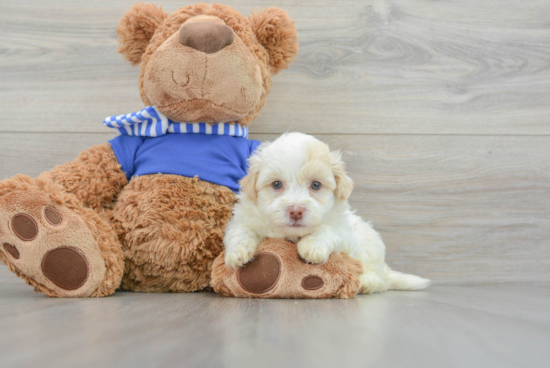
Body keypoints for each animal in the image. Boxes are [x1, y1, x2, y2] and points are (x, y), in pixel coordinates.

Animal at [224, 132, 432, 294]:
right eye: (276, 184)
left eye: (316, 185)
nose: (296, 211)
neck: (292, 235)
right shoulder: (243, 217)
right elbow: (241, 230)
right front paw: (238, 252)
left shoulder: (343, 232)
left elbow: (327, 229)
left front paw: (312, 246)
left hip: (371, 251)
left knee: (379, 280)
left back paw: (365, 283)